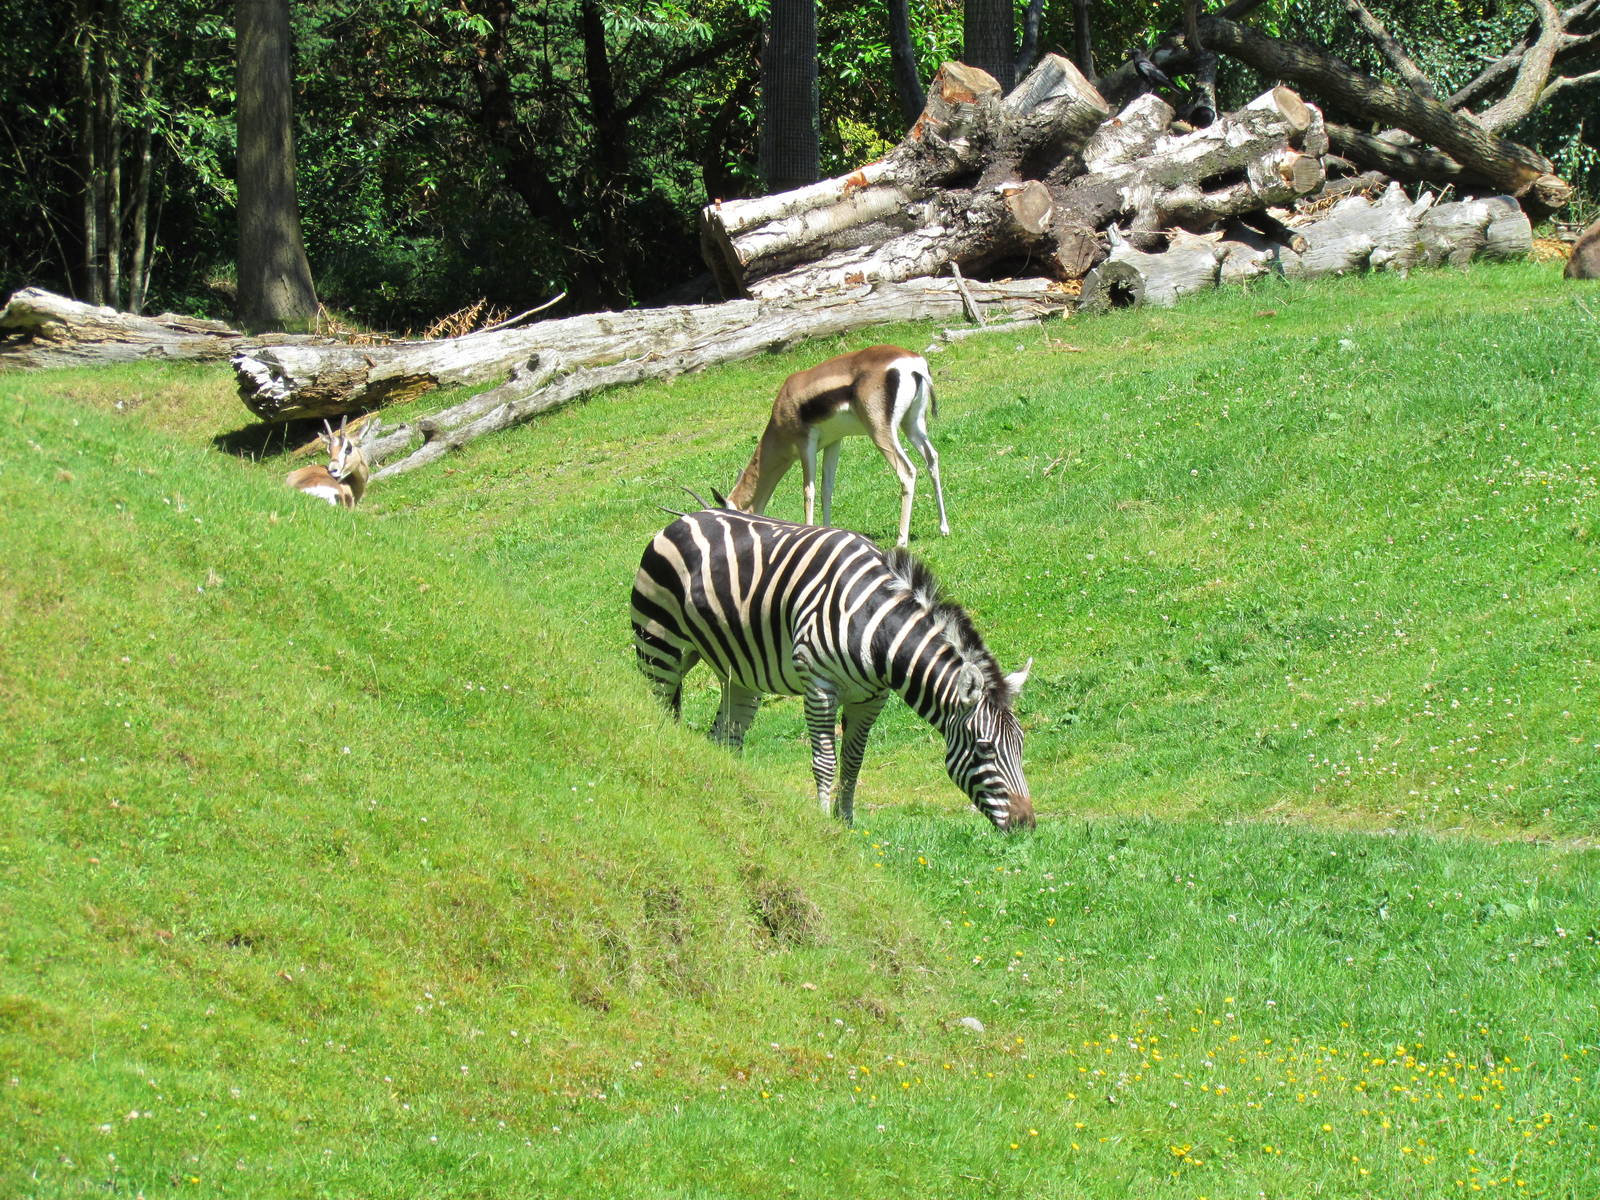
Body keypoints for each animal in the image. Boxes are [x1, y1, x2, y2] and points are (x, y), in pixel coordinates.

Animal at [630, 505, 1035, 831]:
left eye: (1020, 745)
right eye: (984, 748)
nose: (1026, 824)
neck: (876, 625)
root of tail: (683, 519)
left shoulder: (870, 699)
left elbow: (853, 762)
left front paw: (847, 822)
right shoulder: (819, 687)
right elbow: (825, 761)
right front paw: (825, 824)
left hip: (737, 672)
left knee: (725, 739)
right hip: (660, 646)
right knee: (659, 715)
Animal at [726, 345, 949, 548]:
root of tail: (913, 364)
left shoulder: (805, 444)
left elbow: (808, 491)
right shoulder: (834, 442)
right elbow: (827, 488)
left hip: (880, 432)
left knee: (907, 471)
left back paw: (901, 541)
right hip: (912, 425)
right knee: (932, 457)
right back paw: (943, 528)